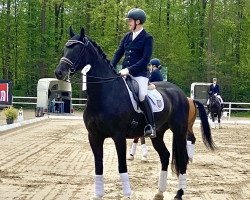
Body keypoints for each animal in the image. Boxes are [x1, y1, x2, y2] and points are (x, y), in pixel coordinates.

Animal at [53, 27, 214, 200]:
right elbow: (98, 165)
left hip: (179, 130)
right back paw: (159, 192)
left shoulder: (118, 136)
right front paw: (98, 194)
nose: (59, 72)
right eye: (65, 48)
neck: (104, 94)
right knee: (165, 156)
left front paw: (127, 194)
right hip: (158, 134)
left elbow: (121, 165)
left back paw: (179, 192)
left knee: (182, 158)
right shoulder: (94, 136)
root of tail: (183, 95)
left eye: (77, 49)